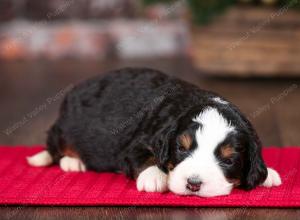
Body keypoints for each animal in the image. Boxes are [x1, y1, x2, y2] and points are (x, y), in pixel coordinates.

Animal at [26, 67, 282, 198]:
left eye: (228, 160)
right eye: (181, 148)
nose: (193, 184)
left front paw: (267, 173)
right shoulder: (137, 142)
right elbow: (145, 158)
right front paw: (154, 176)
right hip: (63, 130)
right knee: (55, 149)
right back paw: (72, 161)